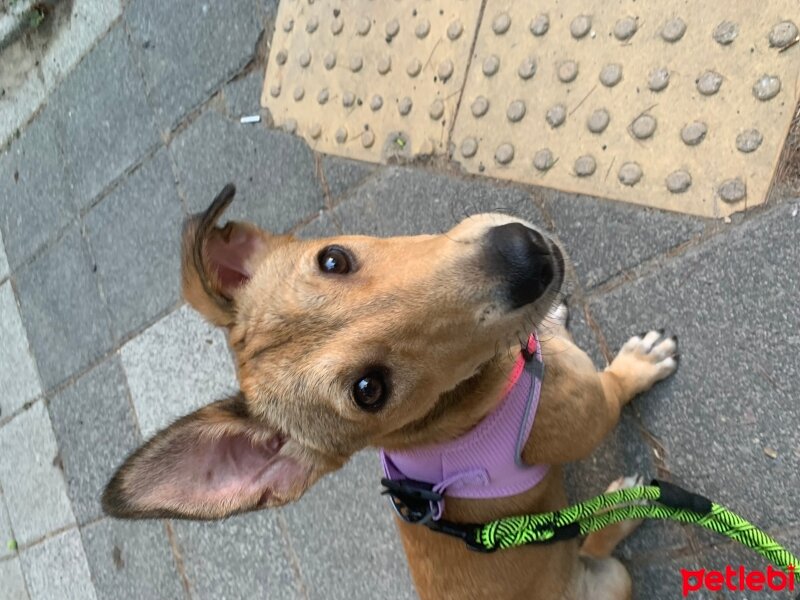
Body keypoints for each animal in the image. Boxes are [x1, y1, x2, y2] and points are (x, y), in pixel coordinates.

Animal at [100, 185, 676, 596]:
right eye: (368, 389)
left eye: (333, 258)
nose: (524, 255)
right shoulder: (591, 411)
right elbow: (615, 386)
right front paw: (639, 364)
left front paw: (552, 319)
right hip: (608, 578)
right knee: (593, 543)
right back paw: (625, 503)